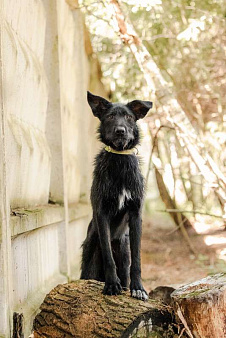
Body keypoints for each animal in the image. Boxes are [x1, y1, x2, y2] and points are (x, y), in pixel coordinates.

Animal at [80, 91, 153, 300]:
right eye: (111, 116)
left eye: (128, 117)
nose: (121, 131)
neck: (119, 159)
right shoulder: (102, 213)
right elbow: (108, 256)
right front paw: (112, 284)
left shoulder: (136, 214)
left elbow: (137, 259)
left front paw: (138, 288)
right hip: (89, 259)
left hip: (124, 251)